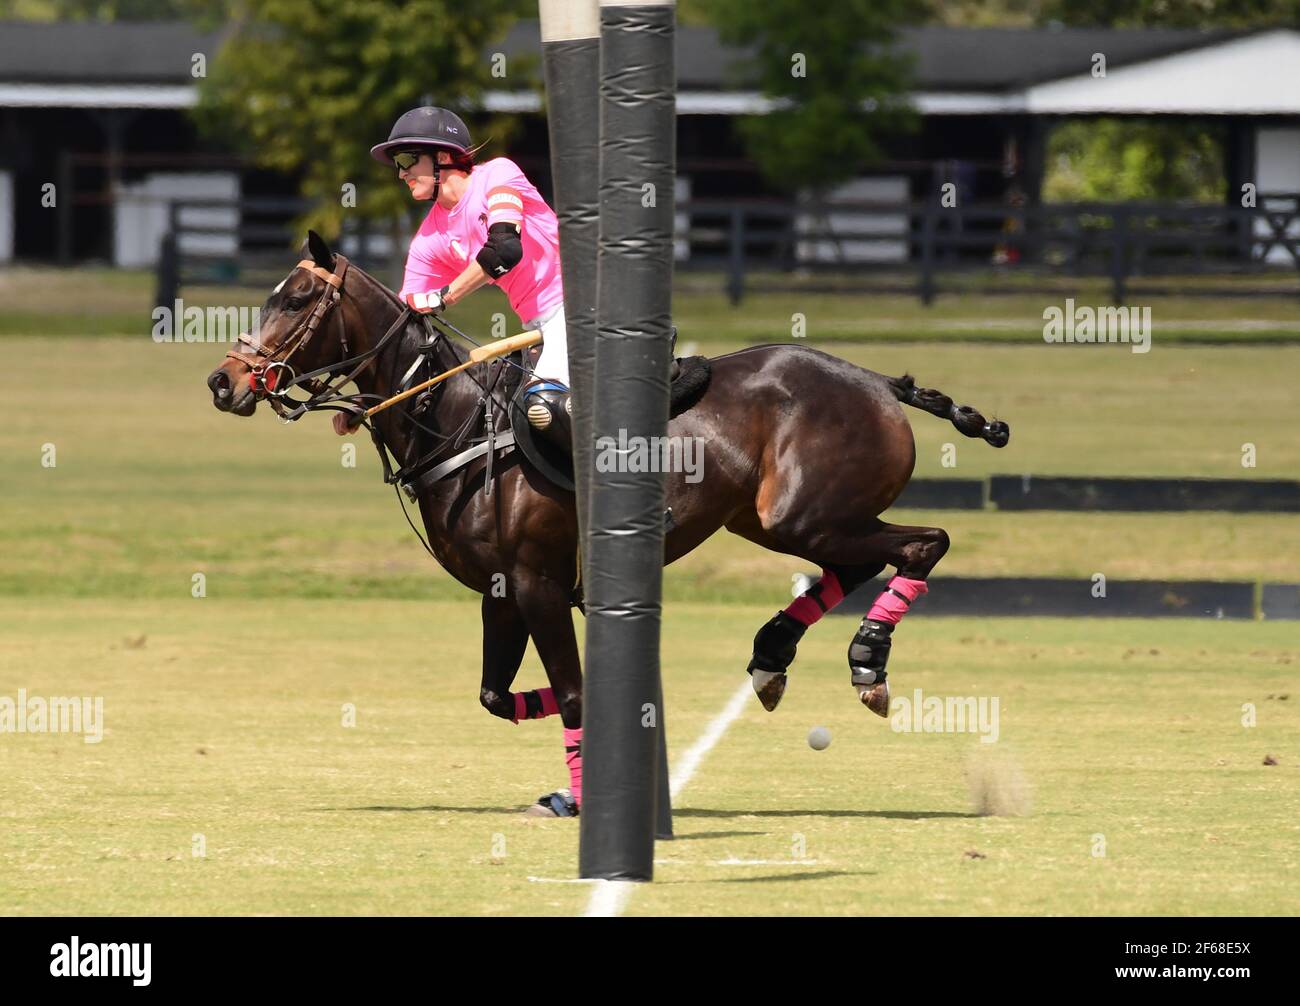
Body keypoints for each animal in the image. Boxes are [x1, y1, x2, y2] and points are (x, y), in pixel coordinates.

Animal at [208, 237, 1008, 821]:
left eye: (299, 299)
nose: (225, 382)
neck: (460, 422)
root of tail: (879, 382)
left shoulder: (536, 582)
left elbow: (571, 693)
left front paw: (583, 795)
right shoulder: (502, 591)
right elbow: (499, 696)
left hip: (803, 515)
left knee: (924, 543)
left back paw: (867, 661)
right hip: (777, 521)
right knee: (859, 561)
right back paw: (775, 654)